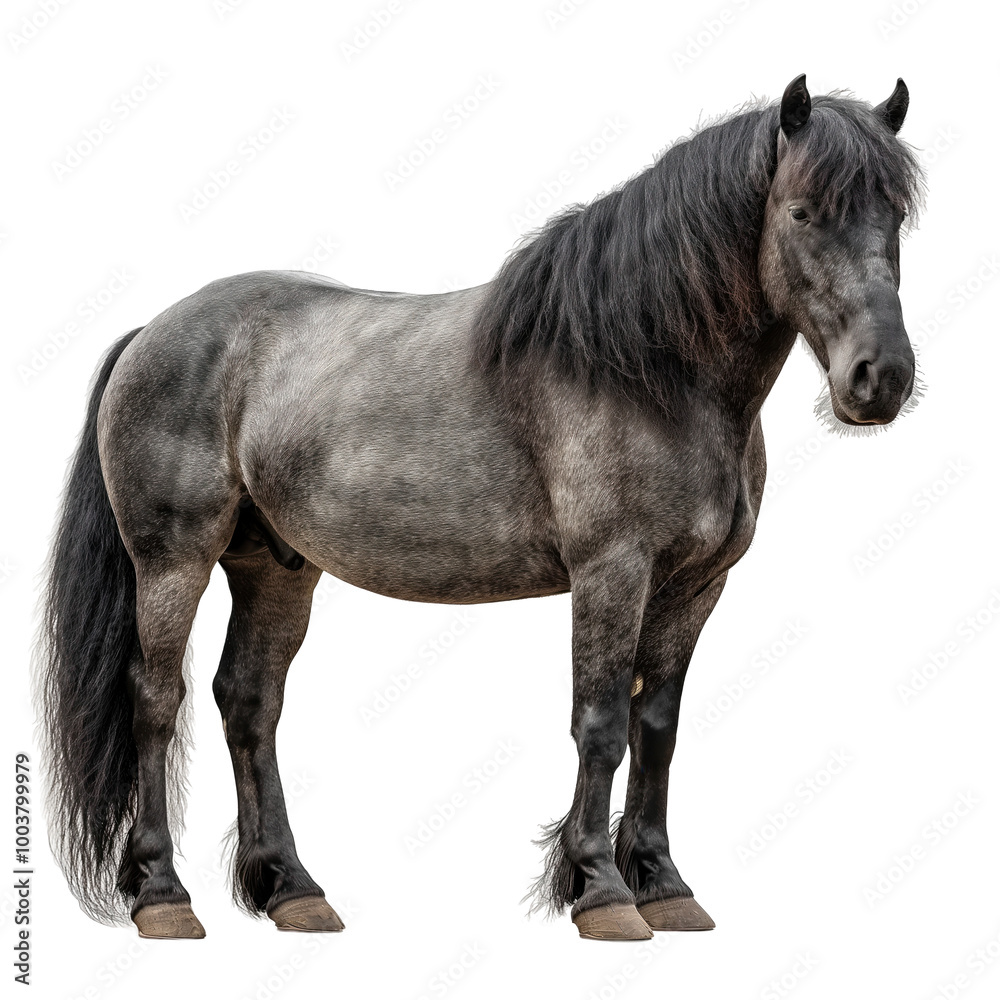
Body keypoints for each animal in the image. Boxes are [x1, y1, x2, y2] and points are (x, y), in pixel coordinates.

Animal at [36, 74, 924, 941]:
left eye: (896, 214)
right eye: (802, 211)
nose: (880, 378)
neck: (646, 370)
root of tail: (155, 330)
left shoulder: (696, 586)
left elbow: (657, 727)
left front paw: (664, 885)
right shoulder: (612, 572)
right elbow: (601, 722)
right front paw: (600, 891)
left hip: (276, 569)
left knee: (249, 703)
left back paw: (292, 890)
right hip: (172, 563)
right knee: (157, 700)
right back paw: (162, 895)